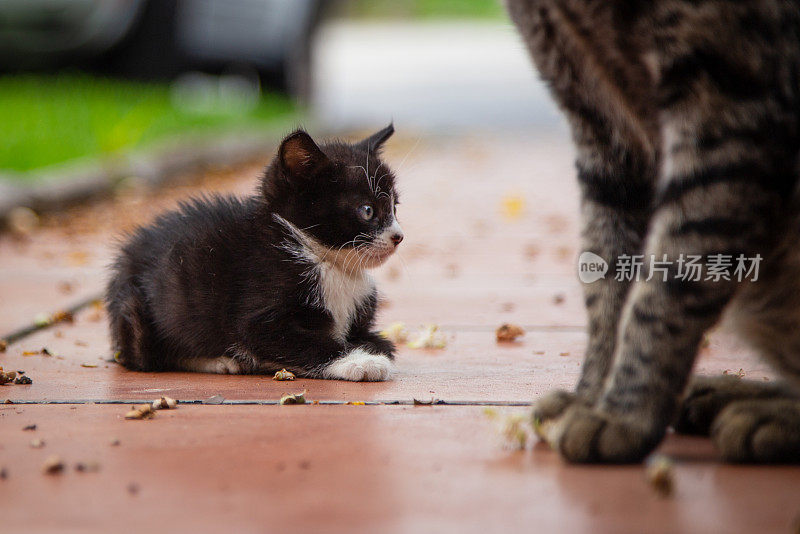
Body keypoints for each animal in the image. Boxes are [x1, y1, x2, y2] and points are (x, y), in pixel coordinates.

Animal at [106, 126, 404, 382]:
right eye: (367, 210)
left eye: (394, 207)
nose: (398, 236)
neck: (323, 259)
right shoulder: (257, 313)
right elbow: (307, 343)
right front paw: (361, 361)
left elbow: (377, 340)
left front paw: (372, 346)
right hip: (137, 312)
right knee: (145, 358)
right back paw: (218, 360)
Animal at [506, 0, 800, 462]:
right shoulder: (603, 129)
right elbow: (610, 295)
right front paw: (592, 397)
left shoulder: (727, 106)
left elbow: (662, 292)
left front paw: (622, 415)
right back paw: (724, 394)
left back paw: (765, 415)